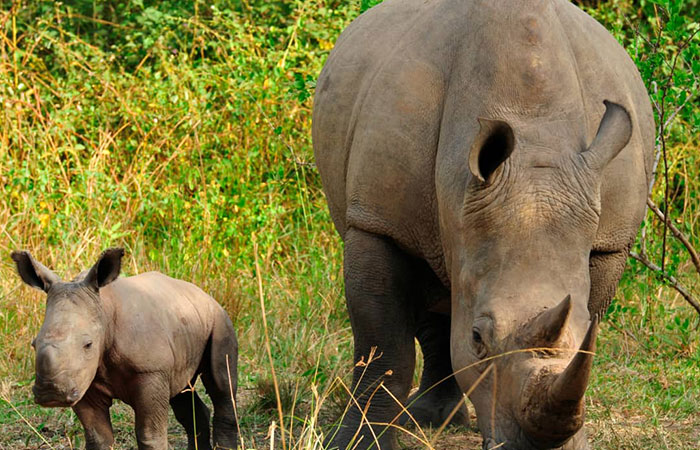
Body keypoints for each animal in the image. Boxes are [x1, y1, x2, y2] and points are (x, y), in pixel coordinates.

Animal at [11, 248, 239, 450]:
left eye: (88, 344)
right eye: (34, 344)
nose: (50, 393)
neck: (103, 311)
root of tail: (203, 293)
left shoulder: (150, 371)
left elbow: (150, 435)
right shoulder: (83, 380)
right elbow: (98, 438)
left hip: (219, 318)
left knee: (221, 384)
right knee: (181, 391)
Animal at [312, 0, 653, 448]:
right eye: (478, 339)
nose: (534, 447)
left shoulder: (610, 241)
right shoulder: (377, 222)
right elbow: (383, 346)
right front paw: (356, 442)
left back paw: (437, 419)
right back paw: (428, 420)